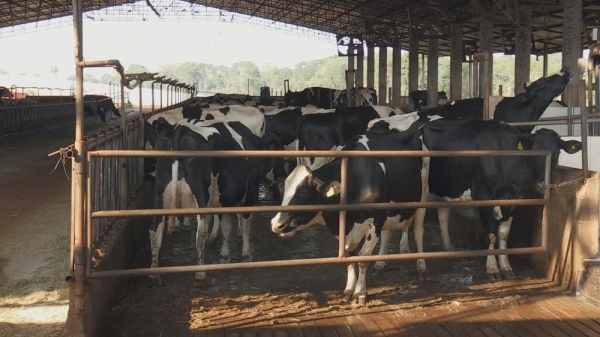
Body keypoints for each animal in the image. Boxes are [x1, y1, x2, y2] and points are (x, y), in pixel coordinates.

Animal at [150, 118, 282, 286]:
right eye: (281, 154)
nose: (285, 175)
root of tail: (181, 128)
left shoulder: (225, 199)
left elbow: (226, 226)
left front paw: (225, 255)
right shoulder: (251, 192)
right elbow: (246, 224)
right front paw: (246, 254)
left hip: (158, 193)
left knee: (154, 231)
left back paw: (155, 275)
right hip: (200, 195)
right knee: (200, 235)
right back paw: (200, 274)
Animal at [270, 121, 424, 304]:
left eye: (303, 193)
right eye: (283, 190)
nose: (276, 224)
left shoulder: (377, 219)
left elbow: (363, 258)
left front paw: (360, 293)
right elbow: (350, 258)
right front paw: (349, 289)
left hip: (423, 198)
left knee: (418, 232)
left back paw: (421, 266)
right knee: (388, 233)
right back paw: (380, 263)